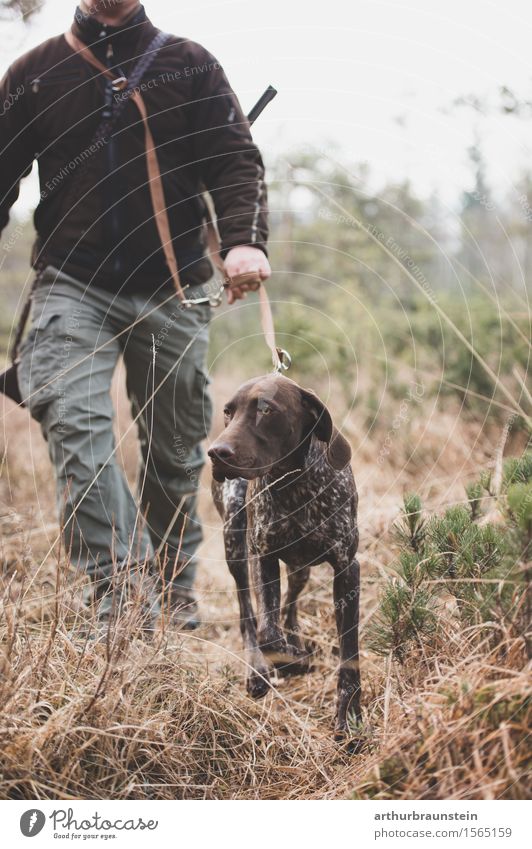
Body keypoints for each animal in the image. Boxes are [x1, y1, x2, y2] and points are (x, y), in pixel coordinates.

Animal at [208, 374, 362, 740]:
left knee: (290, 604)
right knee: (249, 616)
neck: (295, 485)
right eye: (228, 411)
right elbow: (267, 633)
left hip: (299, 567)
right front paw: (292, 661)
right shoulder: (263, 559)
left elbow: (349, 653)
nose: (216, 453)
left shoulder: (347, 569)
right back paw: (259, 672)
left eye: (266, 409)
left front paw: (349, 718)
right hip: (235, 544)